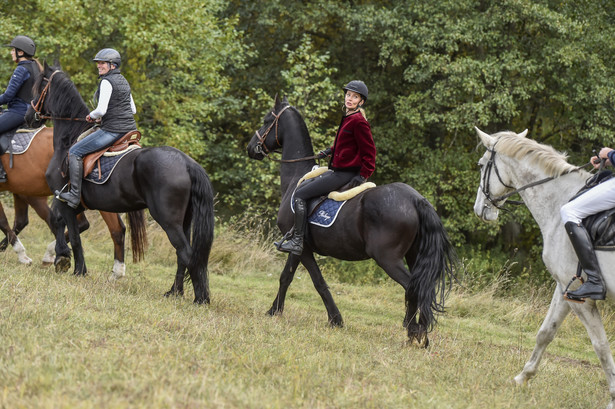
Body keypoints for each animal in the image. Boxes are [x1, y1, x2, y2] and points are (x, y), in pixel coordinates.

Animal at [0, 125, 136, 278]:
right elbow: (20, 221)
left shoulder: (31, 193)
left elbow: (4, 221)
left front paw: (22, 255)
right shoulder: (22, 192)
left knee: (107, 228)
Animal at [27, 63, 217, 302]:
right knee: (183, 255)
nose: (29, 116)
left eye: (37, 87)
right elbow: (64, 225)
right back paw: (174, 292)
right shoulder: (71, 202)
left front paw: (73, 266)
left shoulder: (66, 200)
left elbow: (71, 233)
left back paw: (198, 298)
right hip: (184, 221)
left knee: (186, 253)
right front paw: (62, 258)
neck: (68, 141)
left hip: (169, 220)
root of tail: (187, 162)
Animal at [247, 96, 458, 344]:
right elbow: (289, 277)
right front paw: (279, 310)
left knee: (413, 288)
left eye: (266, 120)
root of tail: (416, 199)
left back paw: (413, 331)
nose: (251, 147)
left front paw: (330, 319)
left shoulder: (301, 247)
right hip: (413, 255)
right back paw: (419, 333)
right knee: (421, 288)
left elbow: (309, 280)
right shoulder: (300, 249)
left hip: (387, 258)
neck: (297, 178)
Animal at [476, 126, 615, 406]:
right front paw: (522, 378)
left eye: (482, 165)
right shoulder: (566, 287)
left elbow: (601, 346)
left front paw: (614, 397)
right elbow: (546, 332)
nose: (479, 209)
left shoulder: (581, 298)